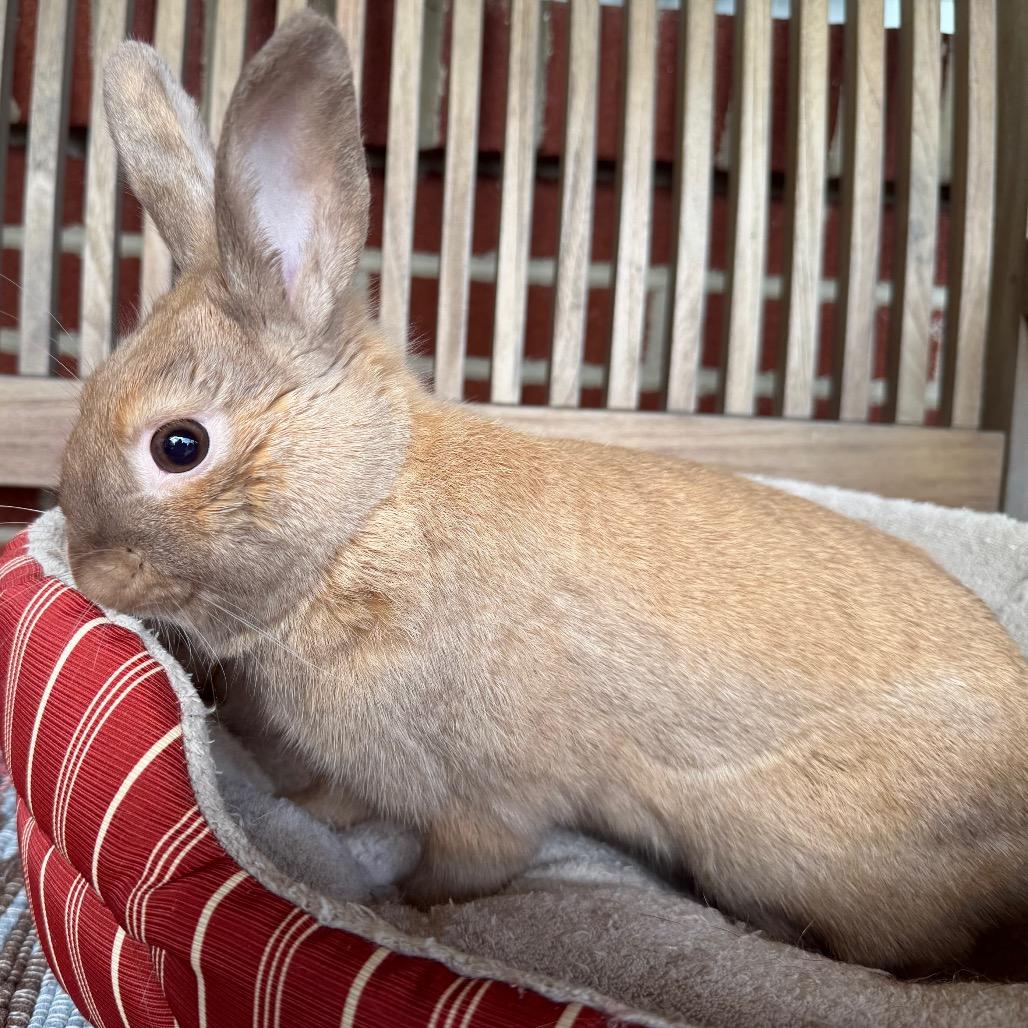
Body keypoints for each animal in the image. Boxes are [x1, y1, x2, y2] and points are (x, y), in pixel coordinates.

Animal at [59, 10, 1028, 976]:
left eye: (178, 446)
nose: (87, 570)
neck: (366, 519)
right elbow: (339, 803)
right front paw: (313, 815)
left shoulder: (488, 800)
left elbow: (462, 867)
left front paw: (402, 913)